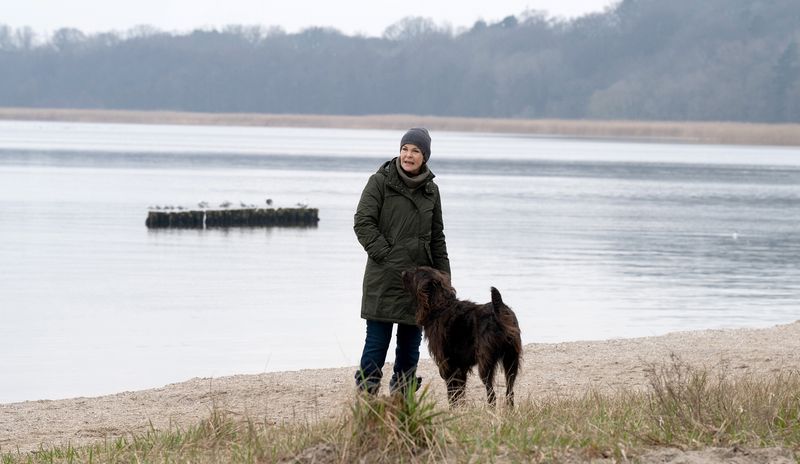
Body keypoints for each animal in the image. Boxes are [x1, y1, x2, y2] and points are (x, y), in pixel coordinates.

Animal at [400, 266, 524, 408]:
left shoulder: (447, 365)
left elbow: (452, 393)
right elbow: (459, 392)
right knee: (510, 392)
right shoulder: (460, 367)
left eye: (415, 272)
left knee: (491, 394)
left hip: (486, 363)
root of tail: (500, 312)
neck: (440, 306)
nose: (402, 272)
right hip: (511, 359)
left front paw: (452, 410)